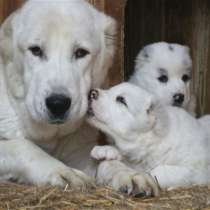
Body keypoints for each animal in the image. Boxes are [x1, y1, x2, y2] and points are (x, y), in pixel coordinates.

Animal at [0, 0, 149, 192]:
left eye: (80, 52)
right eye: (36, 50)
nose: (58, 103)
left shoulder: (80, 151)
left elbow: (105, 161)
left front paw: (128, 173)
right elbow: (23, 147)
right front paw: (63, 171)